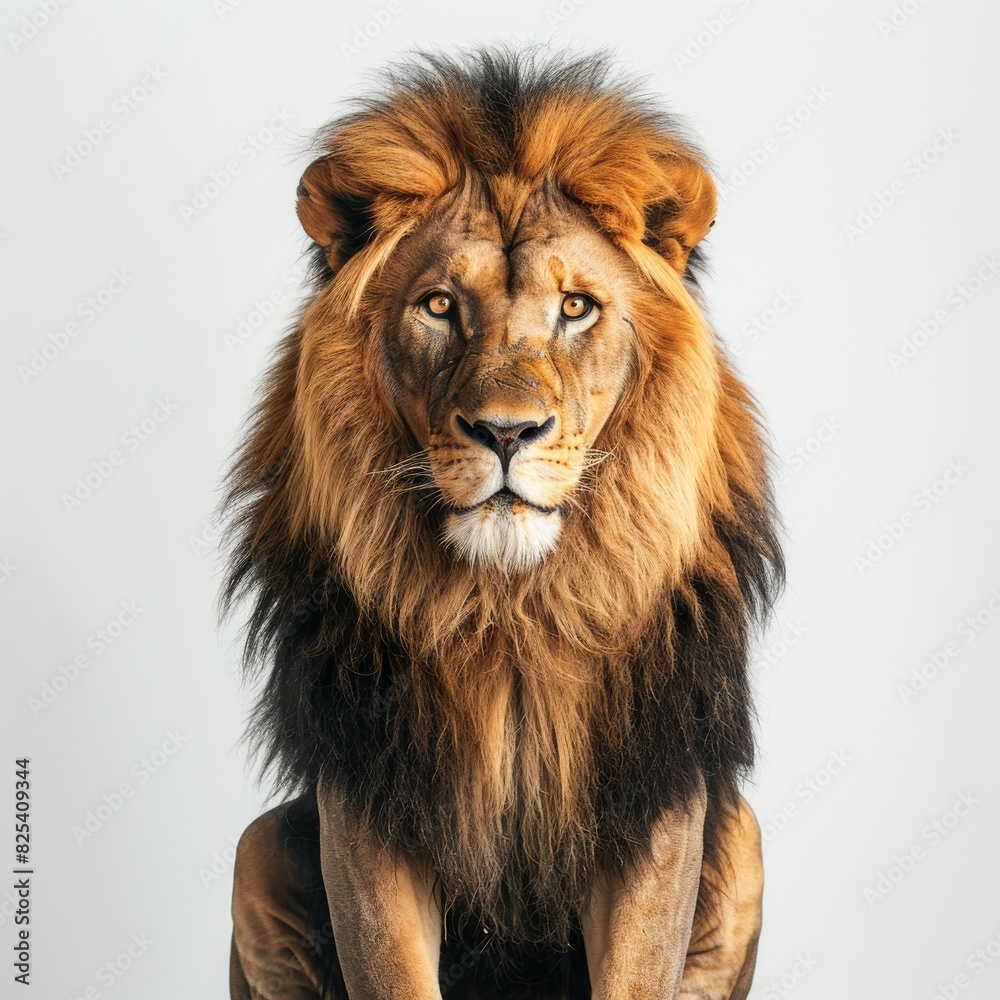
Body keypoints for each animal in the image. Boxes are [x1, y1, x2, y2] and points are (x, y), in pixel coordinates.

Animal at [223, 49, 783, 1000]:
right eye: (441, 306)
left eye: (576, 308)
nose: (506, 432)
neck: (510, 609)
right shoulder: (368, 792)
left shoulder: (654, 796)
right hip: (254, 848)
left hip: (742, 838)